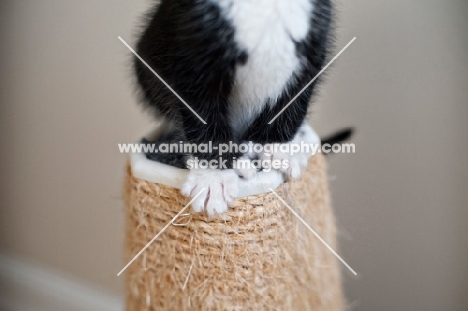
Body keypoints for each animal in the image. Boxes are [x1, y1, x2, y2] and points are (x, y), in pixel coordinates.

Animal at [133, 0, 334, 217]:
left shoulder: (316, 35)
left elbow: (295, 96)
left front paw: (280, 148)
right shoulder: (192, 44)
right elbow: (202, 112)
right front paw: (213, 177)